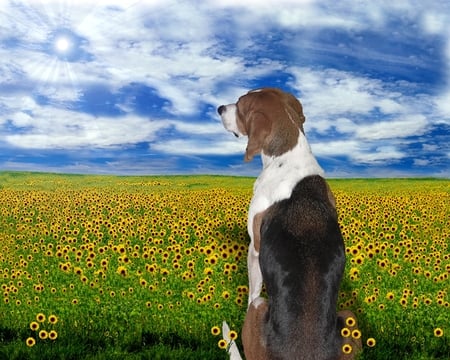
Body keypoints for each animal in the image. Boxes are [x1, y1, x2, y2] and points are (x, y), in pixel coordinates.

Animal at [218, 88, 362, 360]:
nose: (220, 108)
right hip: (350, 317)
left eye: (240, 105)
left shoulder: (255, 248)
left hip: (260, 307)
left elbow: (253, 288)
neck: (288, 154)